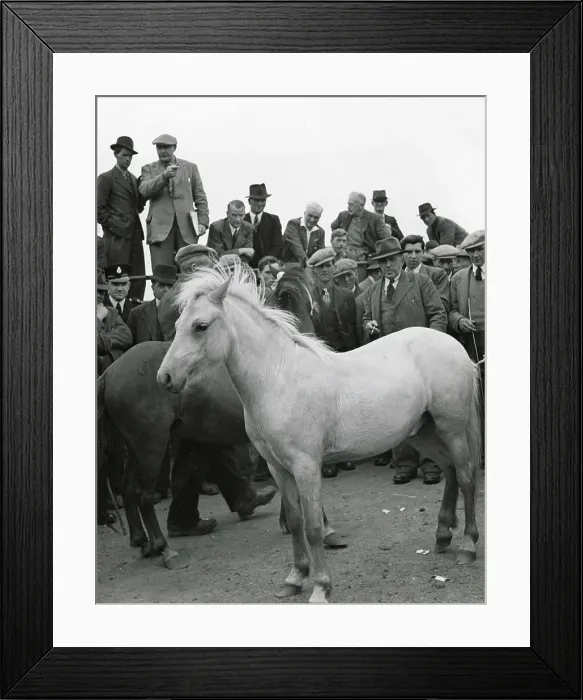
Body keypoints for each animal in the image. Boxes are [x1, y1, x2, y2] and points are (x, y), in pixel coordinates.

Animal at [158, 262, 482, 603]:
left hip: (451, 428)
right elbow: (295, 520)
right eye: (177, 324)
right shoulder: (277, 467)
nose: (164, 377)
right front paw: (295, 578)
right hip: (423, 432)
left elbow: (313, 527)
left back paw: (467, 546)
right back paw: (442, 535)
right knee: (449, 472)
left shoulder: (306, 466)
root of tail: (452, 344)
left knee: (465, 476)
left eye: (201, 326)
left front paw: (321, 587)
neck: (280, 377)